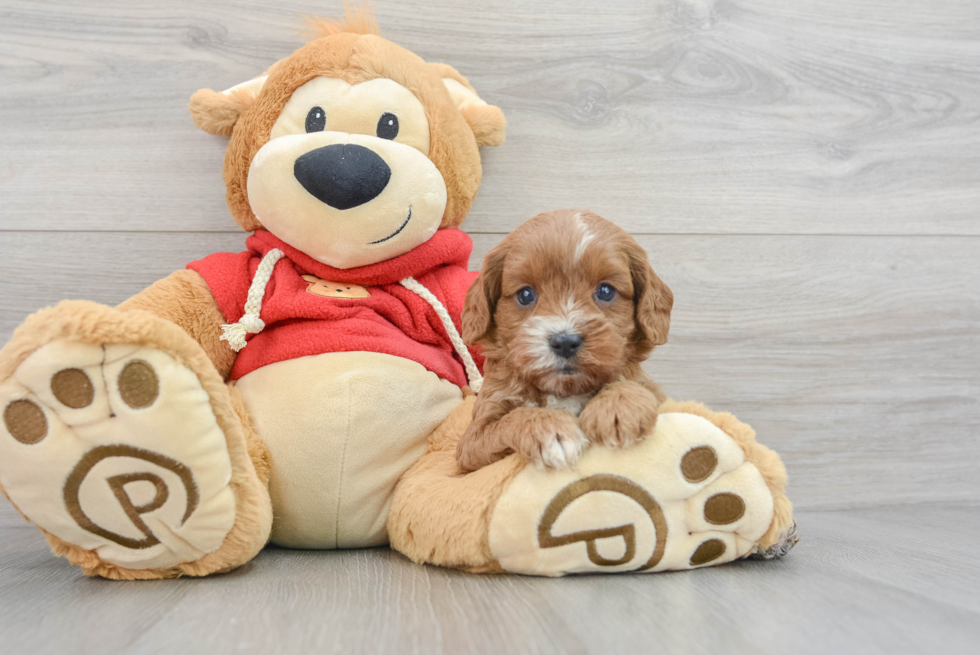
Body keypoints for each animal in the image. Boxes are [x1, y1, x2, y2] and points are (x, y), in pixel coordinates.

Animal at [460, 210, 672, 472]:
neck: (564, 391)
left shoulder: (661, 397)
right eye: (525, 294)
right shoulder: (471, 444)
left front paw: (621, 405)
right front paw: (552, 430)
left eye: (606, 291)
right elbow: (512, 418)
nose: (565, 342)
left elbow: (632, 384)